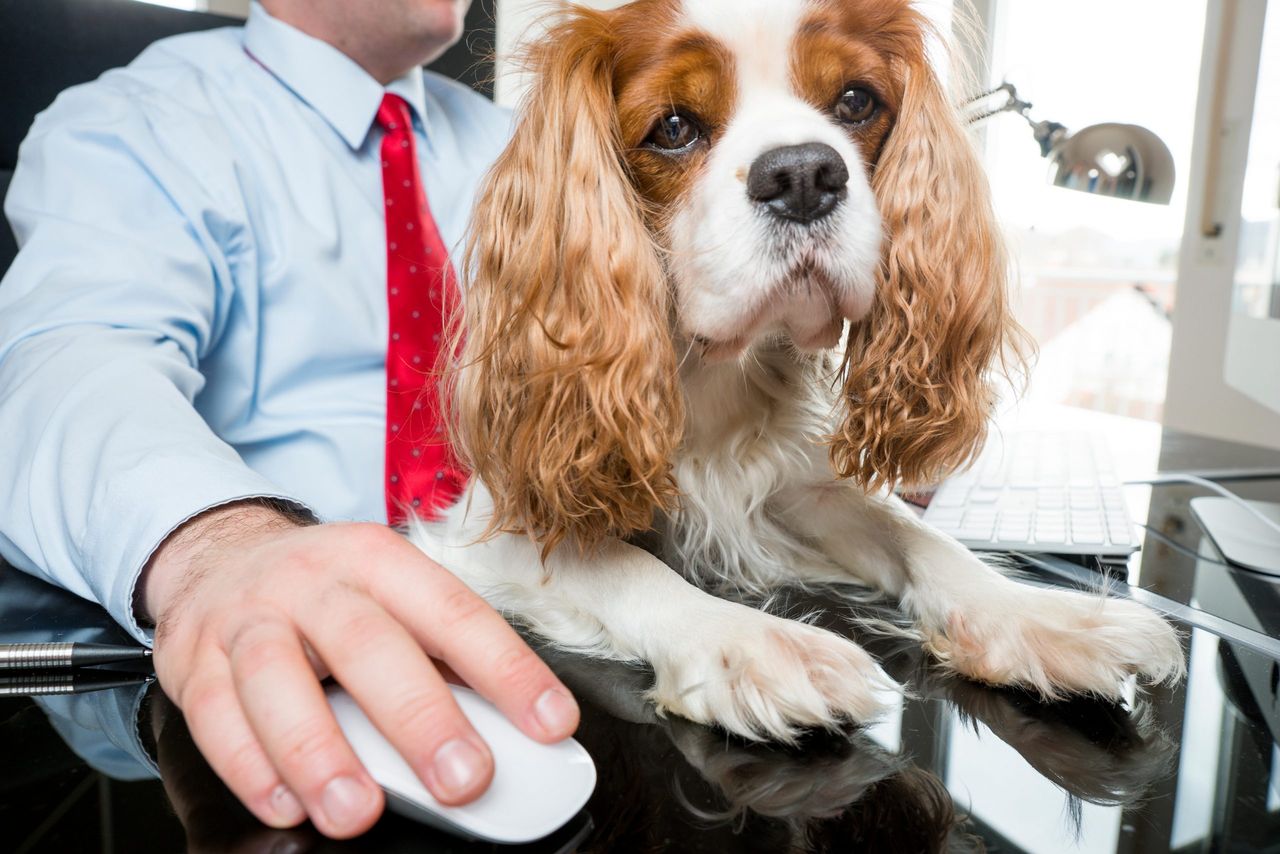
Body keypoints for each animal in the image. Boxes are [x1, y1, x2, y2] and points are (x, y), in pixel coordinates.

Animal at [407, 0, 1177, 742]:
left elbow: (922, 537)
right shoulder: (491, 526)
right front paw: (751, 641)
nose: (804, 174)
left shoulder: (796, 495)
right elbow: (626, 565)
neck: (709, 376)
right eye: (674, 127)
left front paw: (1039, 616)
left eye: (857, 101)